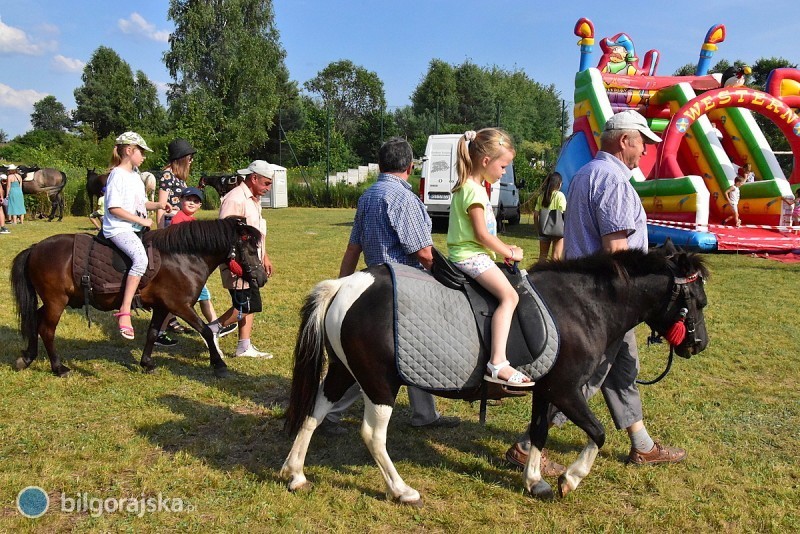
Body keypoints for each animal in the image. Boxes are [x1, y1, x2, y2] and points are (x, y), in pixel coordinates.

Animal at [11, 217, 268, 376]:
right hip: (56, 301)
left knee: (34, 320)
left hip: (53, 301)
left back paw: (28, 357)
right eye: (250, 249)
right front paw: (218, 363)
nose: (262, 277)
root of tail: (34, 248)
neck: (182, 257)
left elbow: (153, 333)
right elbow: (205, 330)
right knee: (46, 330)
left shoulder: (163, 306)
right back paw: (58, 367)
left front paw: (147, 363)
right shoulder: (180, 305)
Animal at [282, 245, 712, 504]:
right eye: (697, 300)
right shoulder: (567, 389)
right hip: (379, 384)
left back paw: (296, 473)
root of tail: (346, 285)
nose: (699, 343)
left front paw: (535, 480)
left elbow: (539, 432)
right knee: (373, 435)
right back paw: (402, 490)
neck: (581, 305)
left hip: (344, 373)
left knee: (314, 413)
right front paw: (570, 479)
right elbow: (598, 433)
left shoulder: (546, 391)